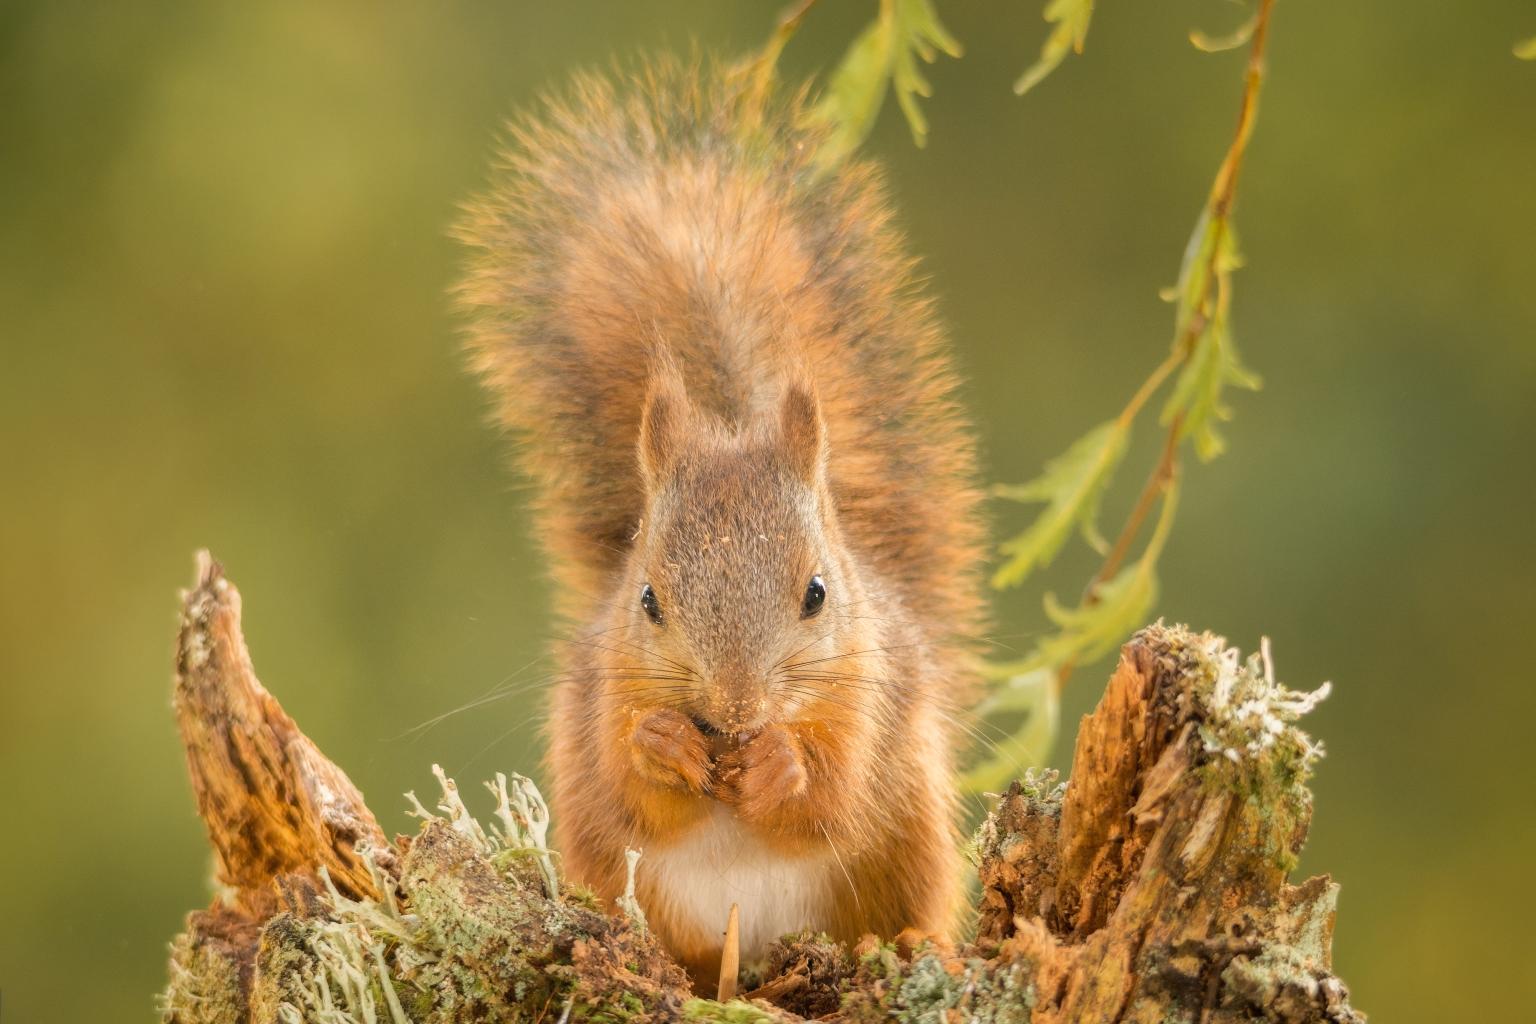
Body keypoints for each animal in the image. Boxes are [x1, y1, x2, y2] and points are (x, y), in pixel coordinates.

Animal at [454, 59, 987, 987]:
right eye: (647, 600)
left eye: (817, 593)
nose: (735, 712)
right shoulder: (603, 696)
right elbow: (634, 788)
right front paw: (666, 743)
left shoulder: (870, 700)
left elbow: (833, 796)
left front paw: (778, 766)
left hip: (915, 838)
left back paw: (906, 946)